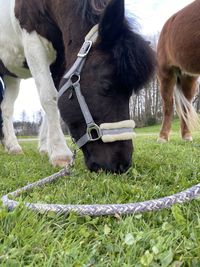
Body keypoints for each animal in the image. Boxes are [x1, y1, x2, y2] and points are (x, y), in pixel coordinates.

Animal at [0, 0, 155, 174]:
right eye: (106, 85)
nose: (121, 165)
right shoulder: (33, 42)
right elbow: (49, 97)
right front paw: (60, 153)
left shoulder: (61, 58)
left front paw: (46, 147)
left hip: (11, 76)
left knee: (6, 107)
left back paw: (12, 145)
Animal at [157, 0, 200, 143]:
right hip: (166, 74)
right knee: (168, 106)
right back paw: (162, 137)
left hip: (189, 78)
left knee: (185, 108)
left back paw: (186, 135)